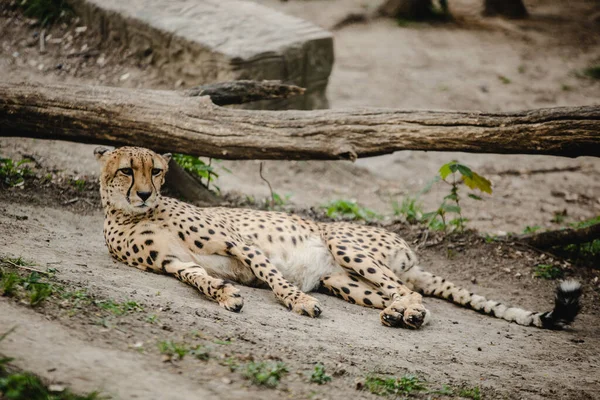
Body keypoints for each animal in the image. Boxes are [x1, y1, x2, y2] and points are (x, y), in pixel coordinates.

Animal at [94, 145, 580, 330]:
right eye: (127, 170)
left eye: (157, 170)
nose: (145, 192)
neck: (130, 214)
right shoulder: (176, 262)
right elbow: (201, 279)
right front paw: (225, 295)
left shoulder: (239, 243)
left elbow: (276, 279)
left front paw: (298, 303)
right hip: (341, 280)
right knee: (393, 293)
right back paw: (396, 314)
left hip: (347, 248)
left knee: (407, 289)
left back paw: (409, 313)